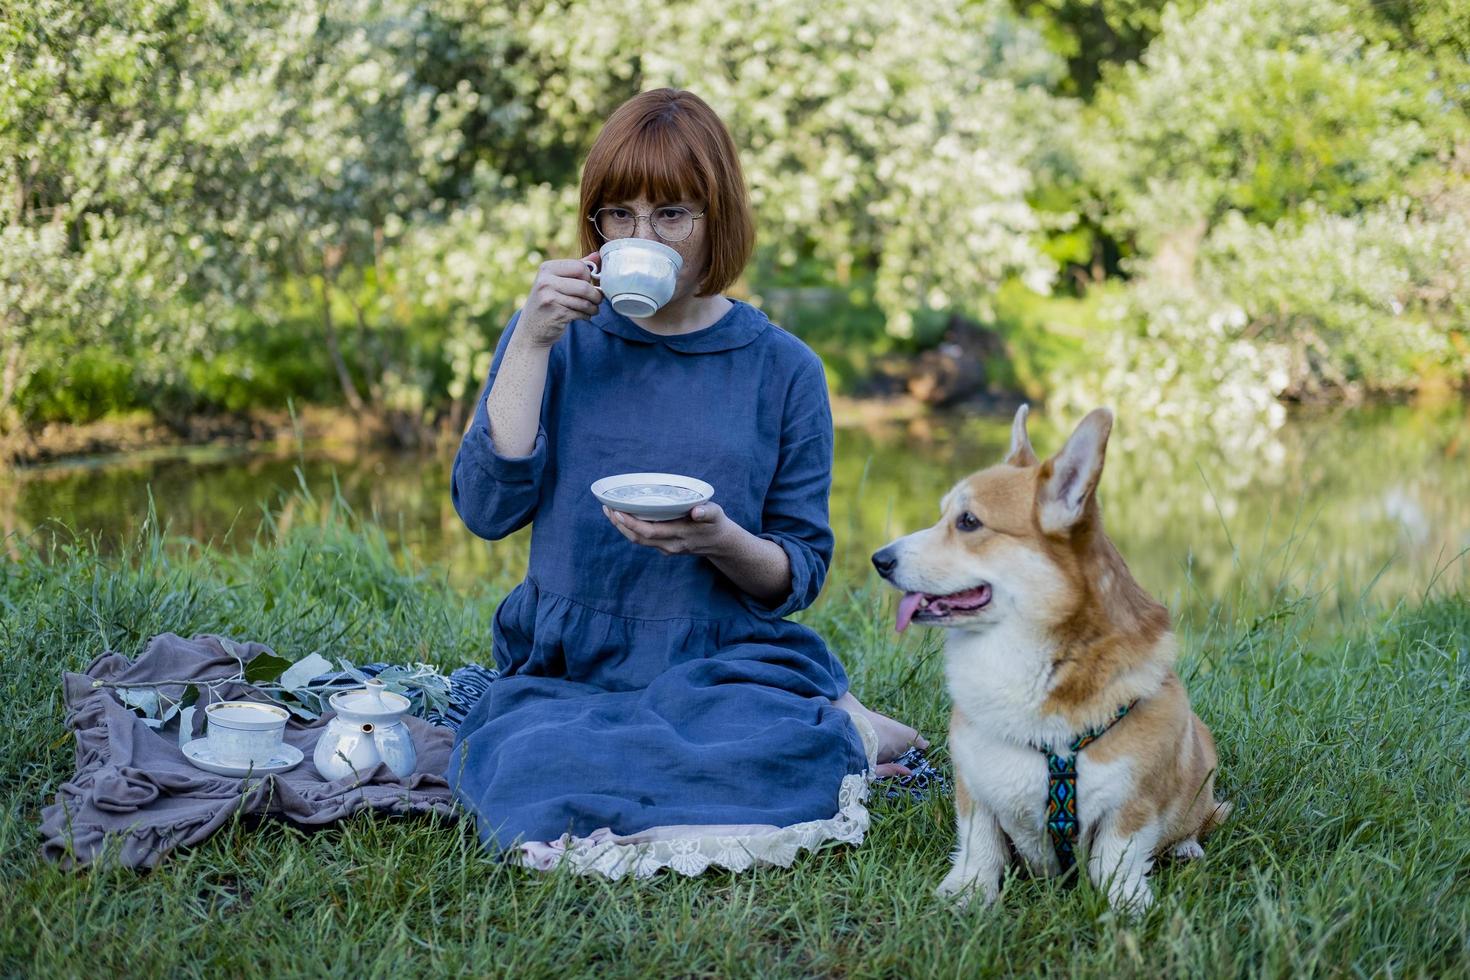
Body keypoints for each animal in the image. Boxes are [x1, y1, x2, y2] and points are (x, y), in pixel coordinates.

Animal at [870, 405, 1228, 910]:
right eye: (944, 516)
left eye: (968, 522)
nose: (878, 559)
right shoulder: (975, 786)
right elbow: (980, 845)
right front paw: (966, 894)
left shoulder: (1132, 805)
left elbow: (1115, 858)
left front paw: (1126, 905)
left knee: (1199, 818)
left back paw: (1187, 848)